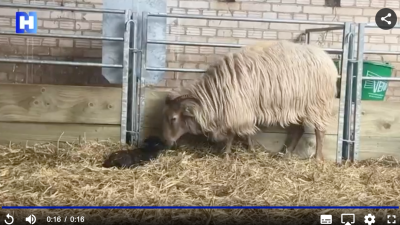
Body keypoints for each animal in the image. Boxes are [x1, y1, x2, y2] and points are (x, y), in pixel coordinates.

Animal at [162, 39, 338, 161]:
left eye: (173, 118)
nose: (167, 142)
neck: (215, 92)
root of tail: (328, 61)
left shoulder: (238, 109)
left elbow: (232, 134)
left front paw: (226, 154)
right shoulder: (243, 110)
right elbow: (247, 133)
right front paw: (251, 150)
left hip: (318, 104)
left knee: (320, 131)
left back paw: (317, 158)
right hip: (297, 106)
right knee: (298, 130)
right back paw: (286, 154)